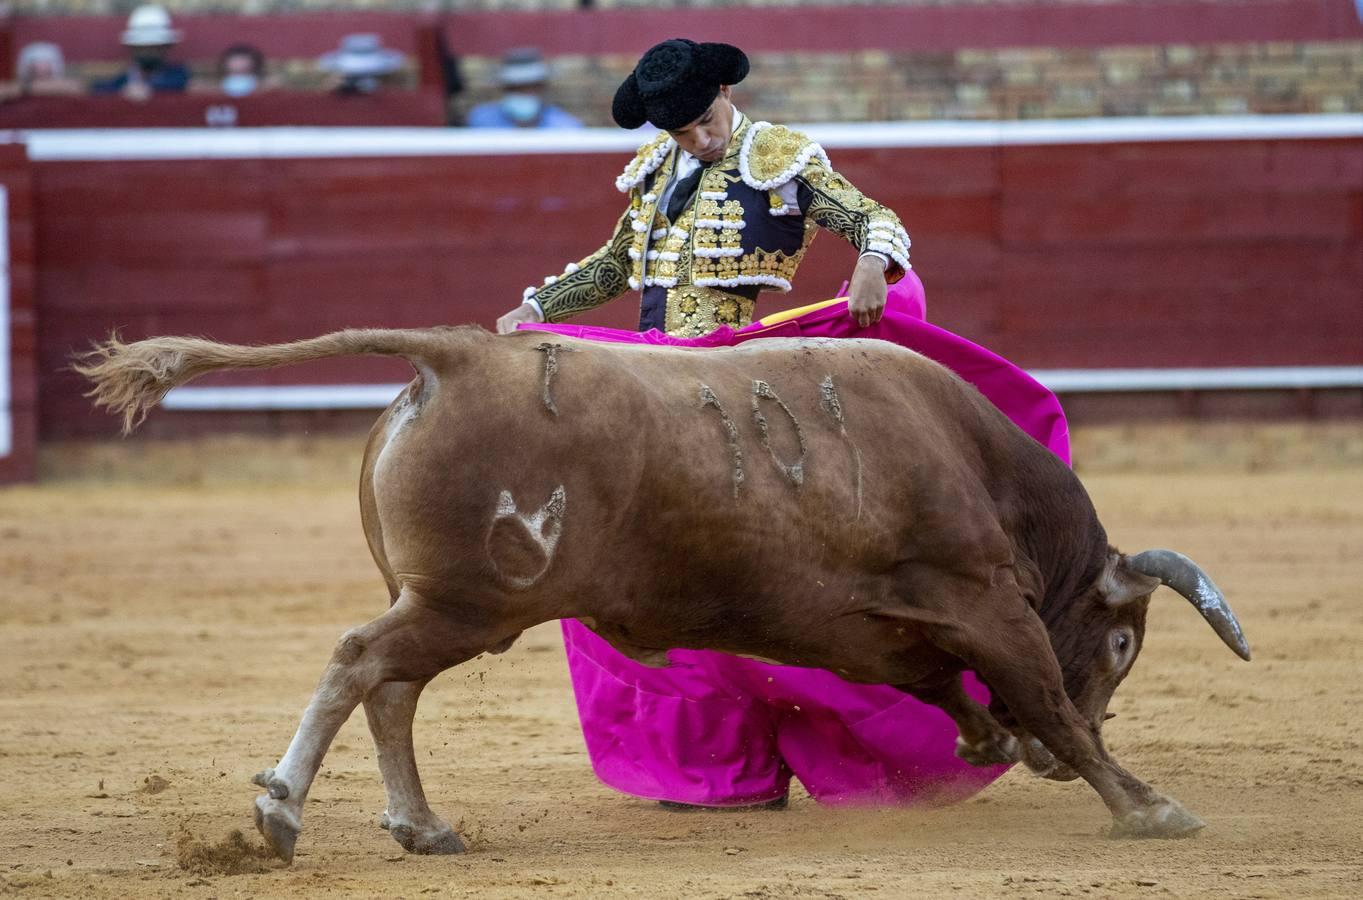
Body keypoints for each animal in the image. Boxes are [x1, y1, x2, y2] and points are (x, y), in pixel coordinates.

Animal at [71, 327, 1248, 861]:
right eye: (1124, 644)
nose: (1039, 769)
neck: (977, 460)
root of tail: (458, 354)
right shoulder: (983, 597)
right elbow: (1045, 696)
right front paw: (1145, 804)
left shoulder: (865, 623)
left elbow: (939, 683)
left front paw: (987, 741)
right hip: (466, 603)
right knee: (364, 662)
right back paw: (280, 809)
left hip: (448, 607)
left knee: (390, 686)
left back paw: (423, 825)